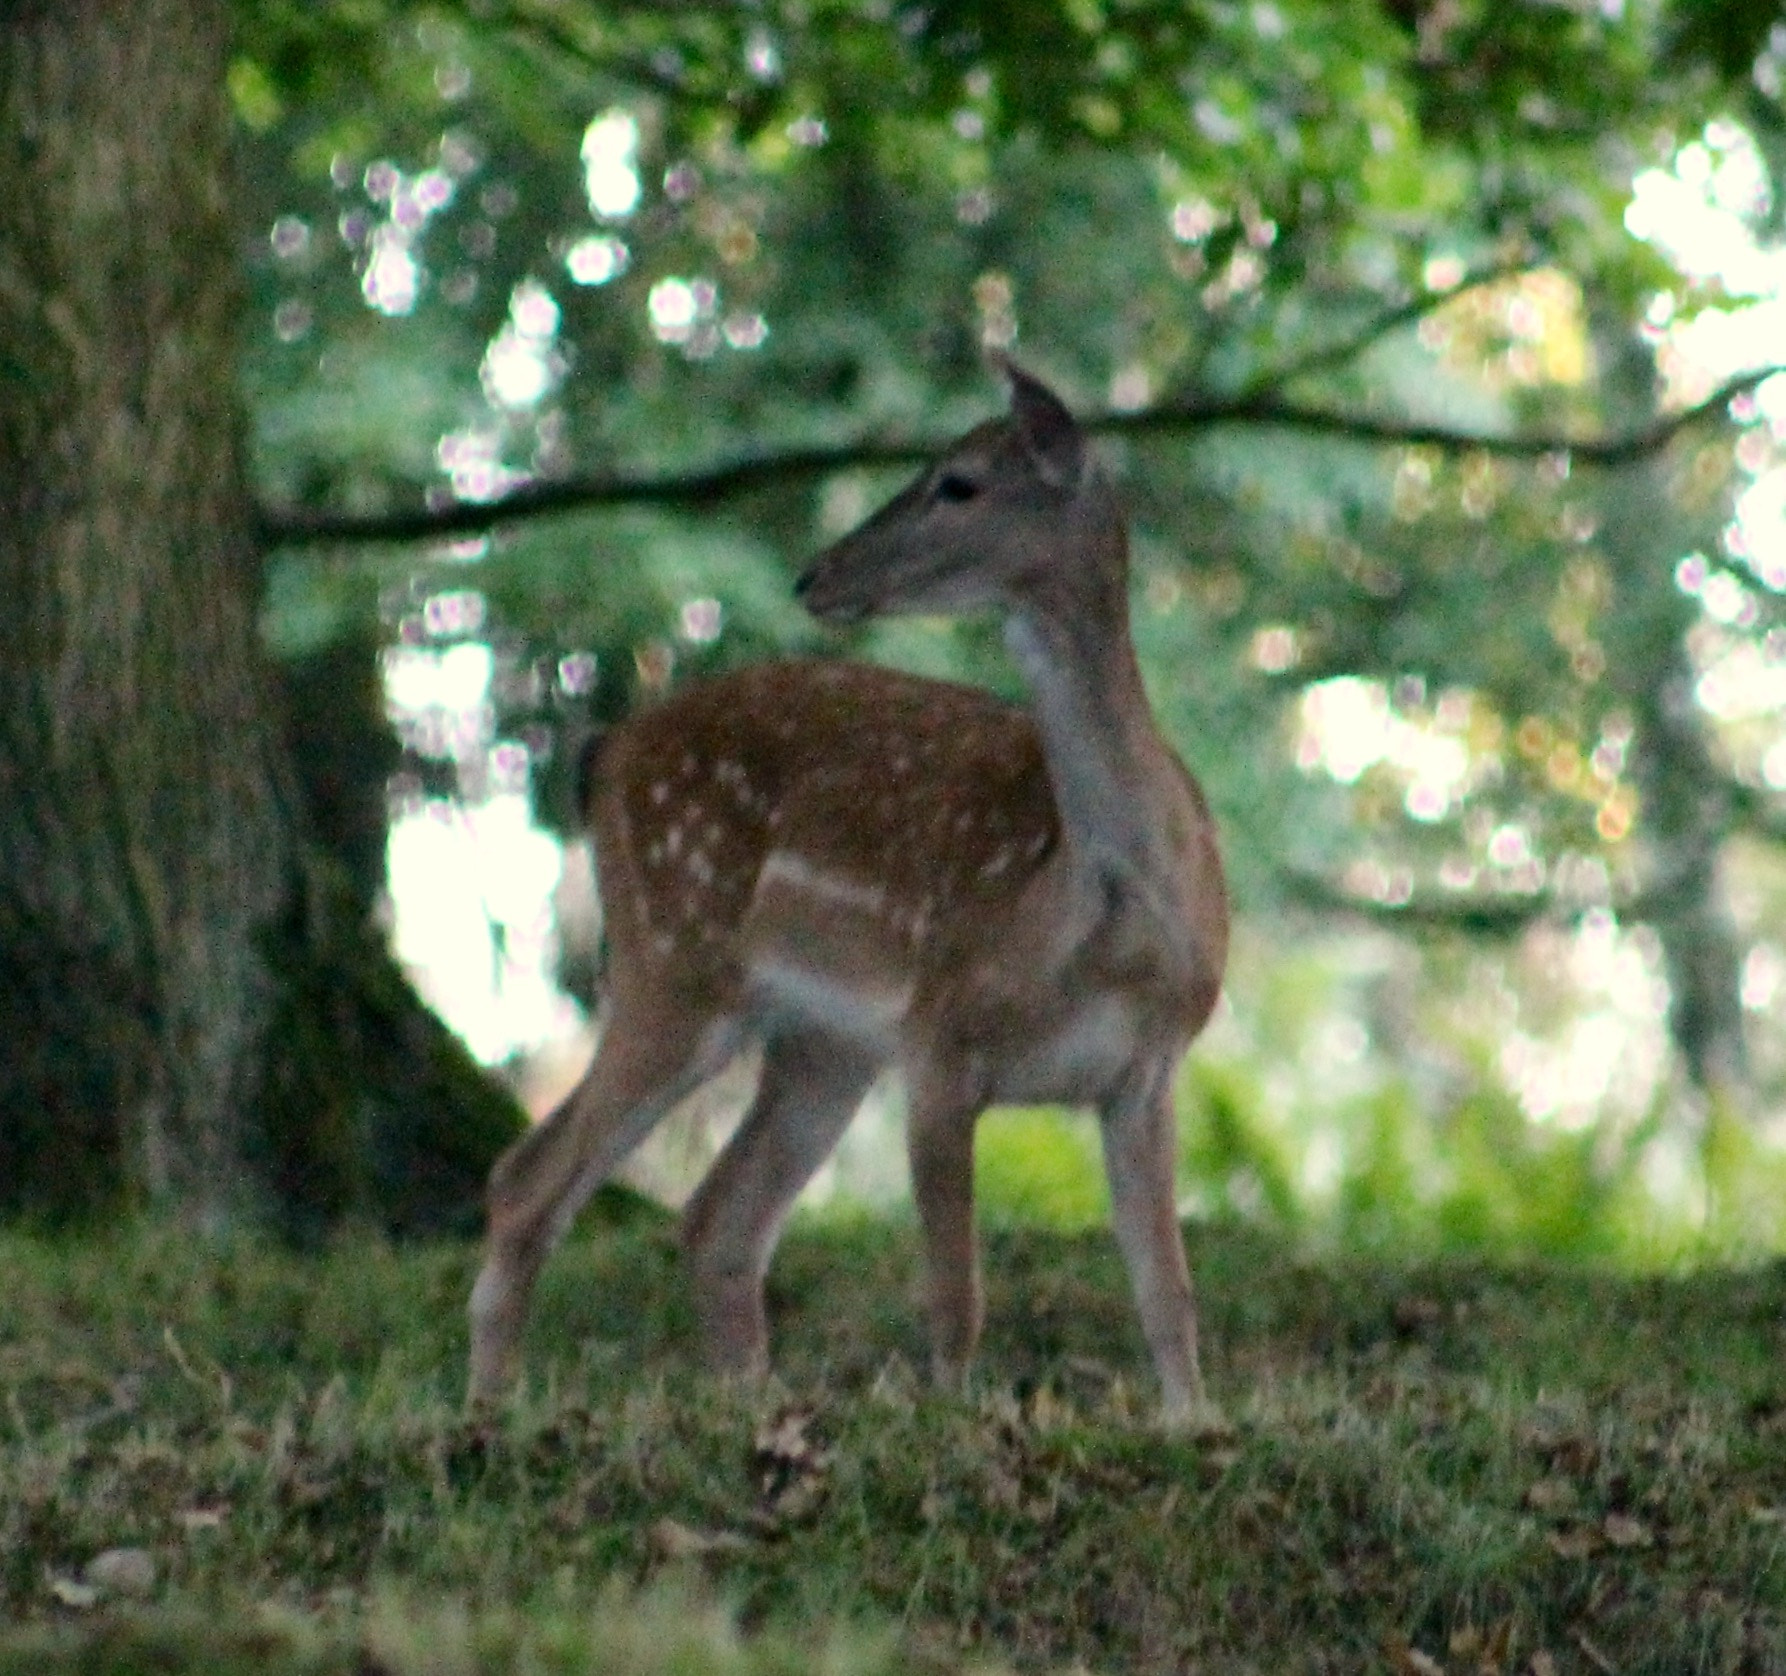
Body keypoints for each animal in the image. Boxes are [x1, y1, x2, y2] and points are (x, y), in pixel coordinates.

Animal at [467, 360, 1230, 1428]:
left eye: (957, 483)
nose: (814, 575)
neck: (1105, 914)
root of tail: (605, 752)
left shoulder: (1146, 1072)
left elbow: (1169, 1291)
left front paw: (1194, 1424)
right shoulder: (943, 1033)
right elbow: (956, 1292)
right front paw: (950, 1426)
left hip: (825, 1041)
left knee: (717, 1217)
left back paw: (746, 1407)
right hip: (675, 958)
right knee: (528, 1180)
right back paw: (488, 1416)